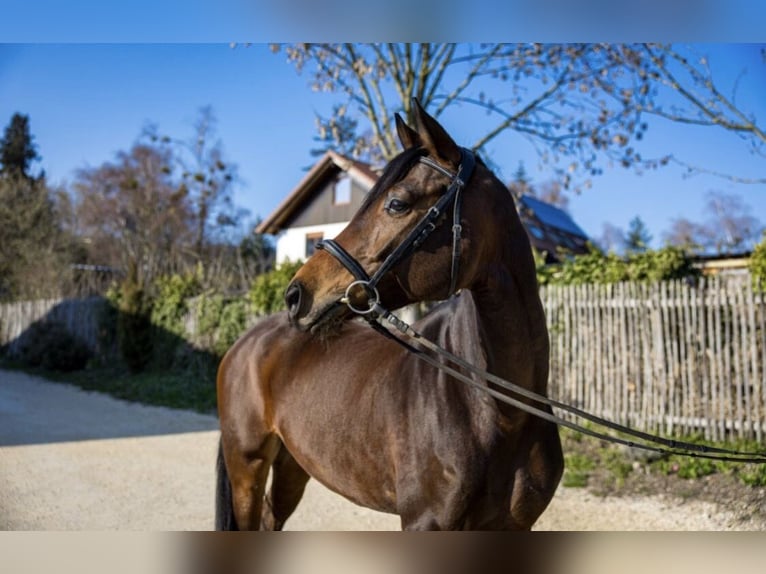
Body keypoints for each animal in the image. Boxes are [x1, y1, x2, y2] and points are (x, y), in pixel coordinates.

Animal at [215, 101, 564, 530]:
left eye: (397, 203)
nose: (296, 294)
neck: (500, 410)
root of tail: (246, 342)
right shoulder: (425, 523)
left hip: (294, 463)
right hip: (246, 466)